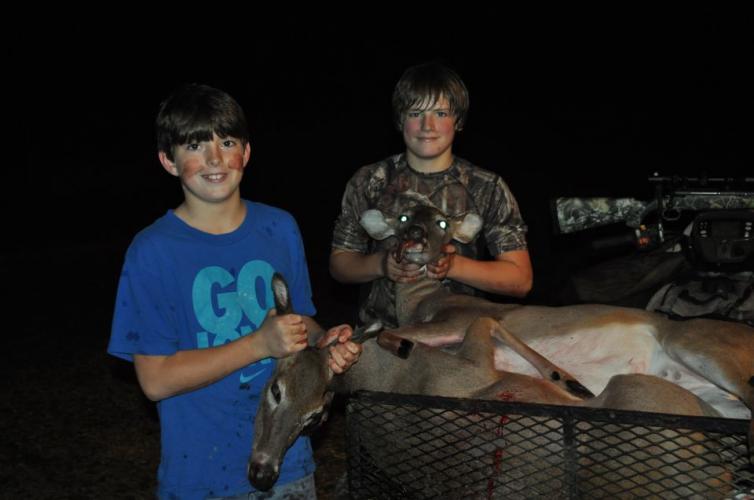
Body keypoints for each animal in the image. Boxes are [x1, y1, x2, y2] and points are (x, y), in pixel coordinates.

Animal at [247, 274, 725, 495]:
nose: (261, 472)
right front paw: (568, 381)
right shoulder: (477, 361)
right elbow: (489, 321)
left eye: (314, 415)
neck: (389, 373)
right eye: (276, 391)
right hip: (636, 386)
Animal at [357, 191, 754, 462]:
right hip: (714, 398)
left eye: (442, 223)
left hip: (699, 345)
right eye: (404, 218)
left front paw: (570, 382)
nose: (415, 238)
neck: (421, 303)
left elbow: (384, 333)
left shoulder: (458, 318)